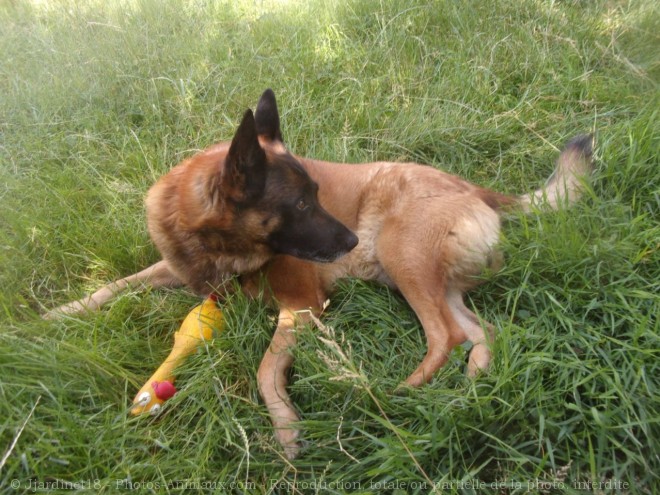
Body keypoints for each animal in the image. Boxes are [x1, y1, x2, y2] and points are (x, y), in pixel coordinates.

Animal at [46, 90, 592, 462]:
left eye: (315, 194)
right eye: (303, 203)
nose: (349, 242)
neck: (219, 245)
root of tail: (477, 190)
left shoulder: (302, 307)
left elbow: (265, 369)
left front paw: (286, 428)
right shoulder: (173, 269)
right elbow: (113, 284)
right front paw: (56, 315)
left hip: (402, 258)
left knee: (445, 334)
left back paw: (404, 391)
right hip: (435, 283)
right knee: (482, 332)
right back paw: (471, 386)